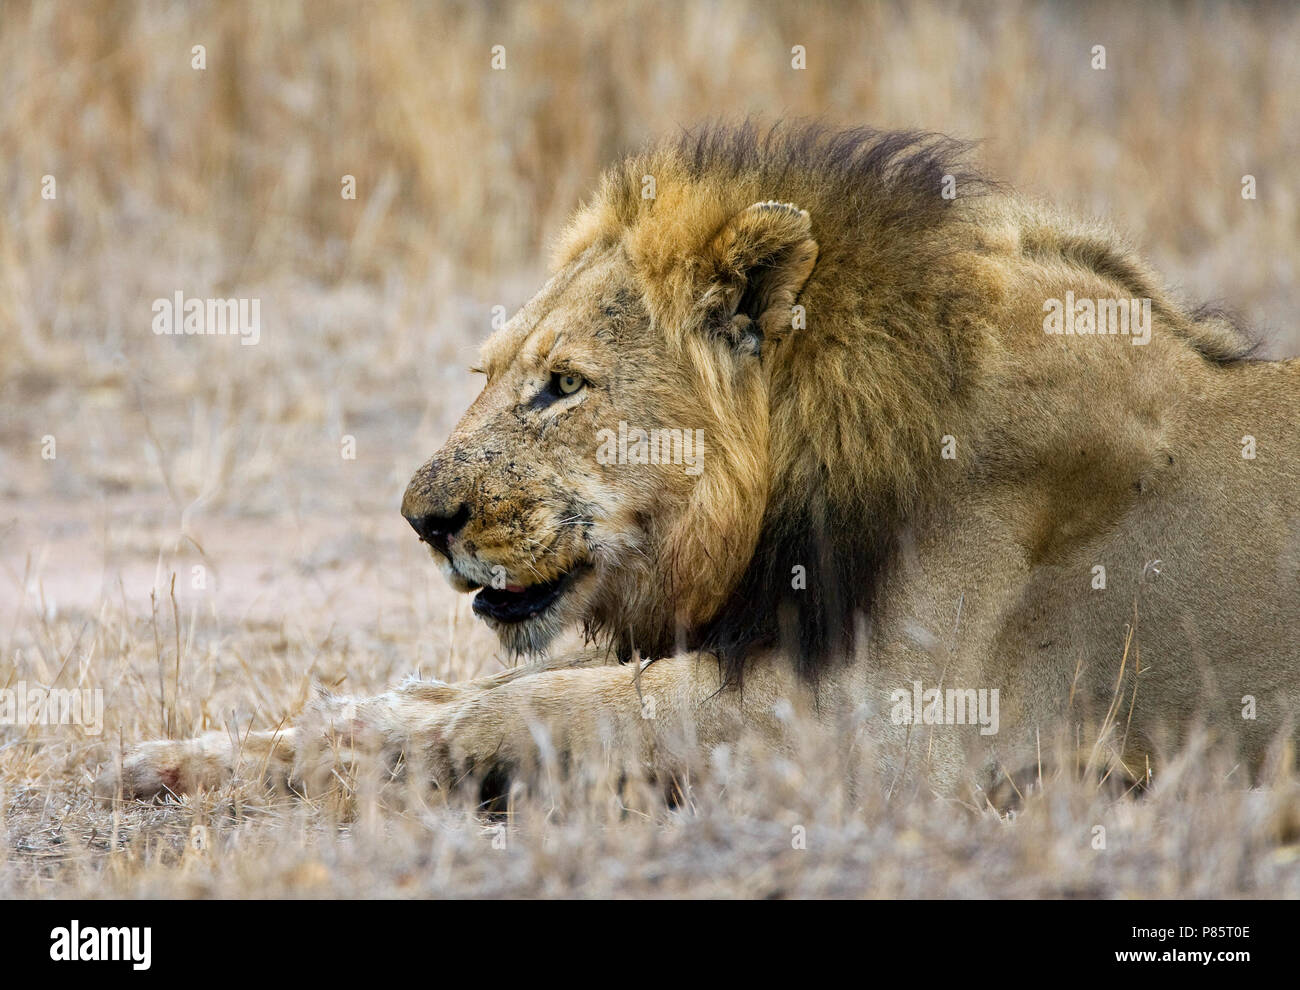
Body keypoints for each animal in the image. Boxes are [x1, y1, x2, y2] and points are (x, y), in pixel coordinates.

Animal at [96, 122, 1300, 808]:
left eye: (563, 384)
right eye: (493, 372)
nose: (421, 520)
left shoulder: (888, 729)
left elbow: (529, 706)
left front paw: (375, 739)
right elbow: (487, 683)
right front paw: (189, 756)